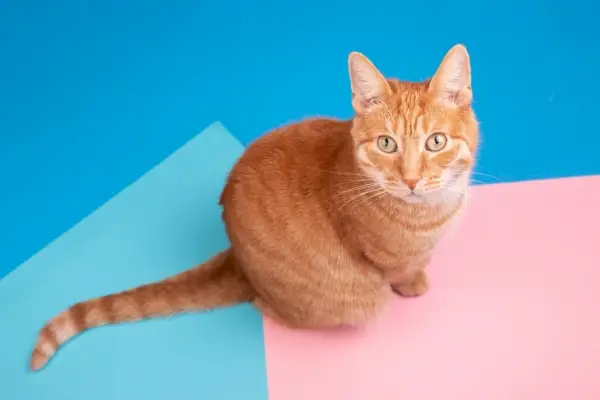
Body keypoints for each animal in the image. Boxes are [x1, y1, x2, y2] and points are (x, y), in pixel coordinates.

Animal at [29, 44, 478, 372]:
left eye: (436, 142)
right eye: (387, 144)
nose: (411, 179)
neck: (434, 207)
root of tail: (238, 261)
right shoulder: (388, 257)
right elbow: (403, 271)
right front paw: (415, 284)